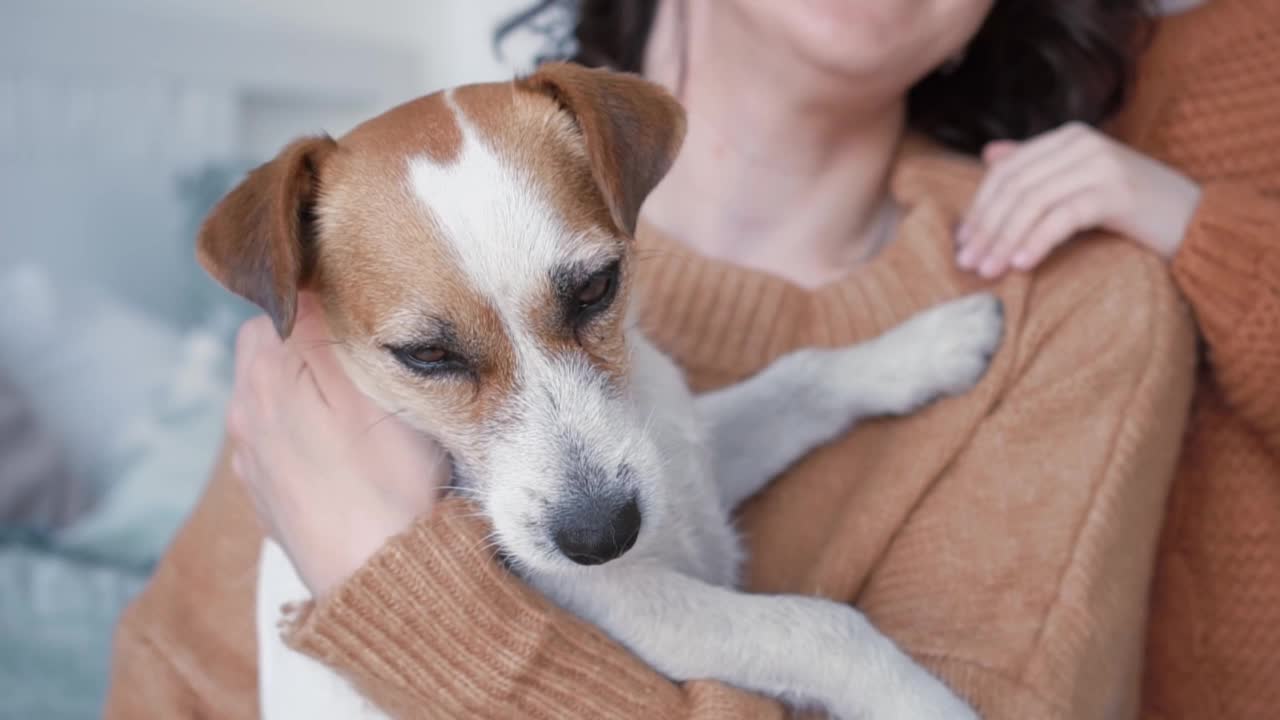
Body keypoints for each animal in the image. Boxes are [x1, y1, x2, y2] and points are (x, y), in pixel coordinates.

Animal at [199, 63, 998, 717]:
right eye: (426, 355)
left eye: (594, 288)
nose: (603, 536)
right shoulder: (618, 605)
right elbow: (821, 628)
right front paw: (928, 705)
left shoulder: (686, 456)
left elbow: (798, 380)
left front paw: (926, 347)